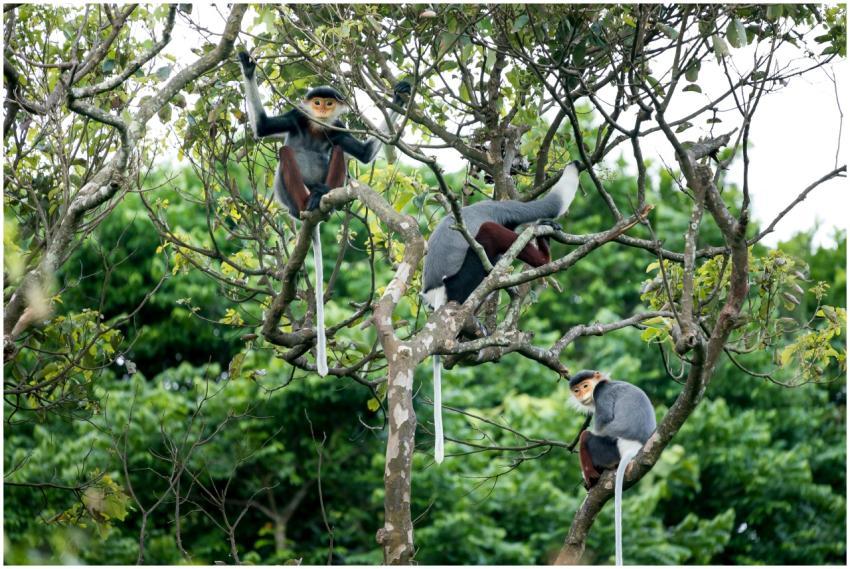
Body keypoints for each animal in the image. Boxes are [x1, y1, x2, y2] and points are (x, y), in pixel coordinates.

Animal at [238, 51, 410, 376]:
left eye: (329, 104)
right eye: (316, 102)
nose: (320, 109)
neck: (317, 127)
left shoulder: (338, 126)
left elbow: (364, 153)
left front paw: (400, 95)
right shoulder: (297, 117)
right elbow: (263, 127)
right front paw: (248, 67)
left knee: (340, 149)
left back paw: (323, 196)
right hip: (289, 199)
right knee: (285, 153)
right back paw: (309, 203)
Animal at [421, 160, 582, 463]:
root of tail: (437, 294)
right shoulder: (504, 212)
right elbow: (546, 207)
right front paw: (542, 230)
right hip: (462, 279)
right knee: (488, 236)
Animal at [568, 370, 656, 566]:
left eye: (586, 386)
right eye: (577, 390)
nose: (582, 394)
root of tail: (632, 448)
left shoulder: (601, 394)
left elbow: (603, 423)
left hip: (609, 450)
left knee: (586, 436)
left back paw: (592, 480)